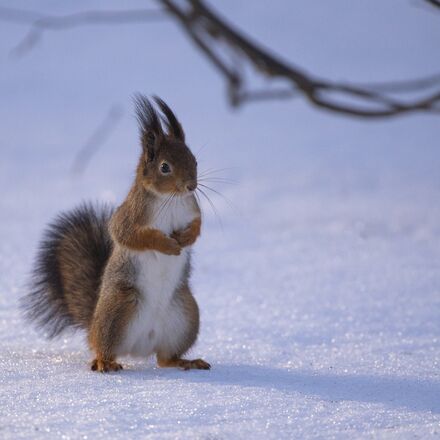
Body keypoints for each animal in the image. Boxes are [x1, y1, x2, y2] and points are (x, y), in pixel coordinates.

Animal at [21, 95, 211, 372]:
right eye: (165, 167)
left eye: (194, 160)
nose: (191, 186)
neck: (170, 199)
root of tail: (141, 346)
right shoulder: (129, 216)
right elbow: (129, 235)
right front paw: (167, 245)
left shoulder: (191, 209)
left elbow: (197, 227)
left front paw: (185, 238)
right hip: (119, 309)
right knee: (104, 348)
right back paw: (104, 363)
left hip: (185, 315)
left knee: (165, 359)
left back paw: (185, 361)